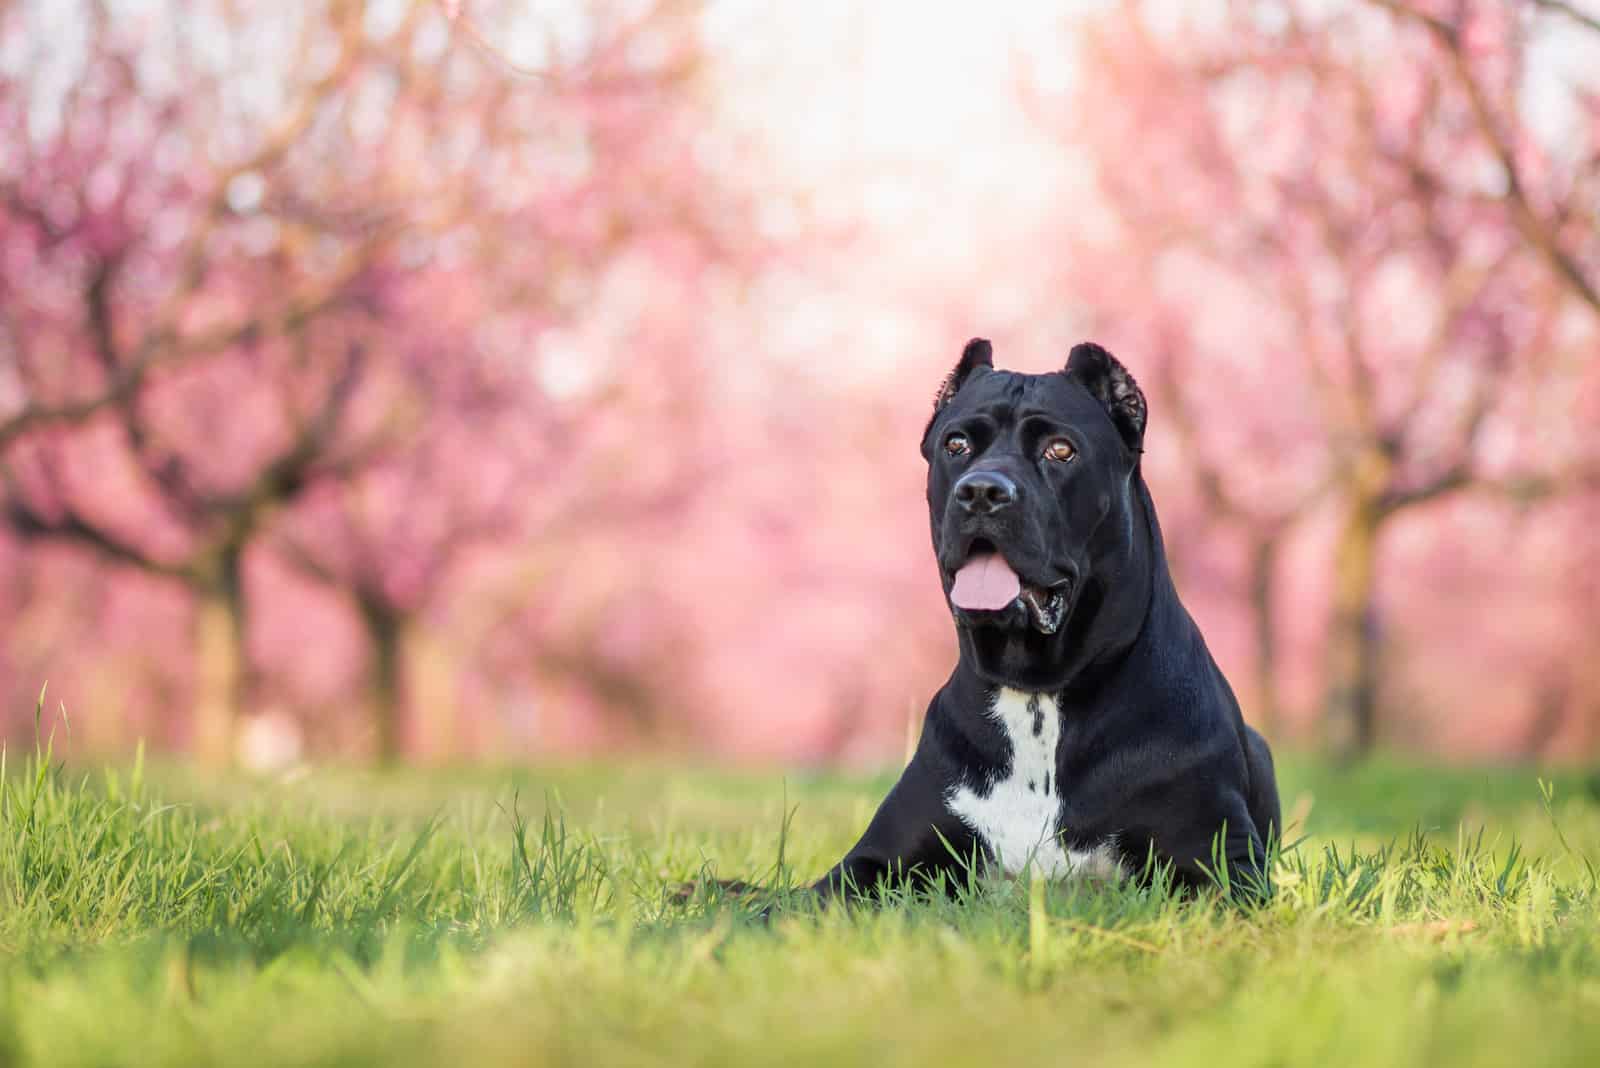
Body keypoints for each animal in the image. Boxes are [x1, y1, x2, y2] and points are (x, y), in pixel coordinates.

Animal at [806, 340, 1280, 901]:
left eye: (1060, 450)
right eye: (956, 444)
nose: (981, 491)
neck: (1037, 693)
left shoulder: (1223, 865)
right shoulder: (871, 862)